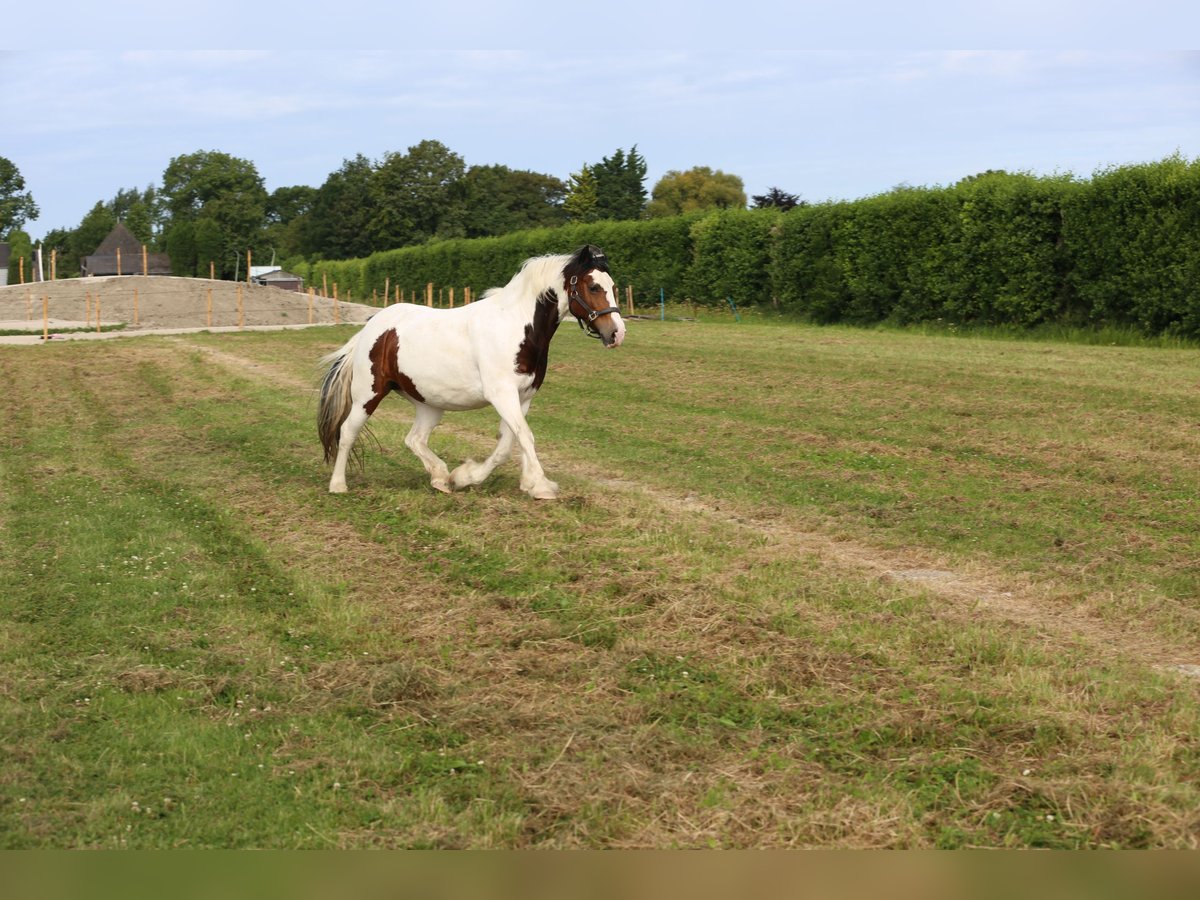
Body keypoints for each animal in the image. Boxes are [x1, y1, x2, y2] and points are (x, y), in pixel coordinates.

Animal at [316, 244, 628, 501]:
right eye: (593, 286)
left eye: (613, 285)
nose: (617, 334)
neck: (516, 326)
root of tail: (371, 327)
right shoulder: (502, 395)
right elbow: (522, 438)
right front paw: (541, 486)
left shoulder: (523, 397)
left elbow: (509, 442)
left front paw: (474, 478)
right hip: (367, 395)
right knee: (347, 432)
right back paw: (338, 485)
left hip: (428, 404)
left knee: (414, 439)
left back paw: (441, 478)